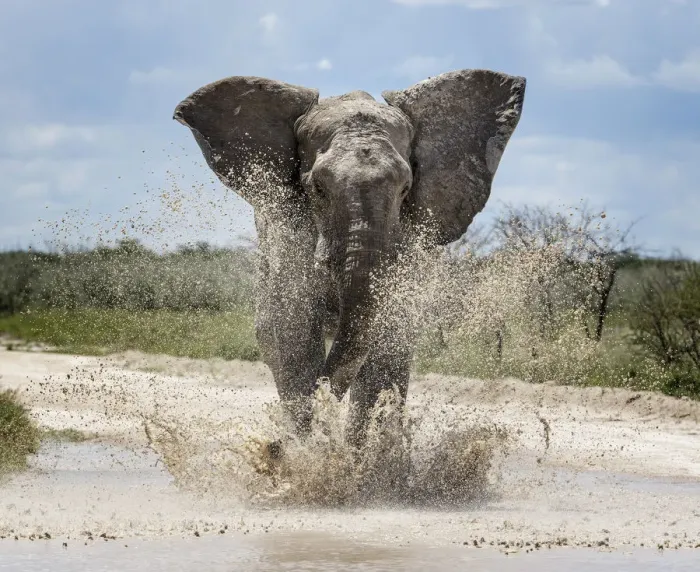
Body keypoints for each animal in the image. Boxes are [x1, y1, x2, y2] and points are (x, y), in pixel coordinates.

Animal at [174, 69, 526, 448]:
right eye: (317, 189)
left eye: (405, 189)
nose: (272, 446)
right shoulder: (288, 237)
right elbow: (293, 333)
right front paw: (308, 451)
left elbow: (388, 345)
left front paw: (355, 457)